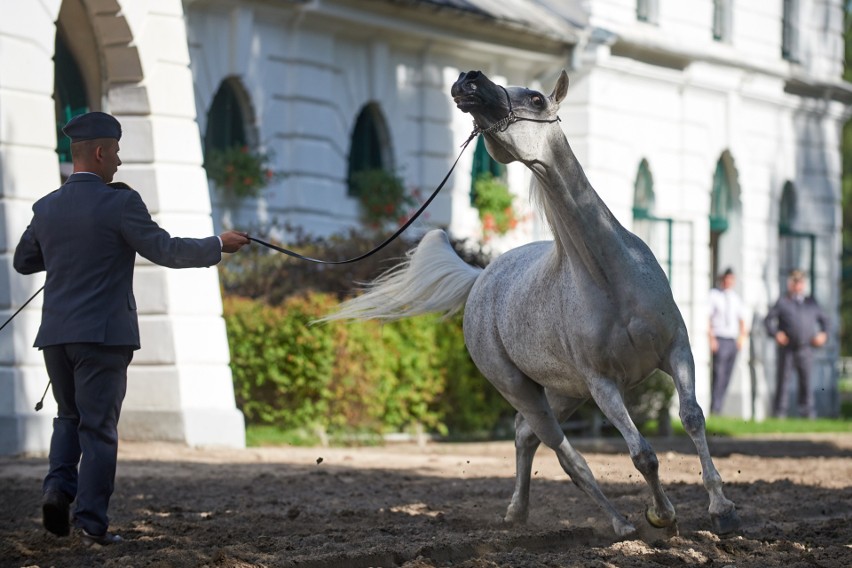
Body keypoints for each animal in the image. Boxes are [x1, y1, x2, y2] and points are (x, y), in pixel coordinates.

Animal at [326, 70, 740, 536]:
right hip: (524, 389)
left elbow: (692, 417)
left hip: (563, 391)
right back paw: (619, 524)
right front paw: (662, 516)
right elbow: (643, 454)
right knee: (562, 452)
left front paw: (722, 509)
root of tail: (481, 279)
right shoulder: (603, 384)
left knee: (527, 436)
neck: (612, 278)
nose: (468, 80)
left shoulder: (676, 350)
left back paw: (518, 512)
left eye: (538, 99)